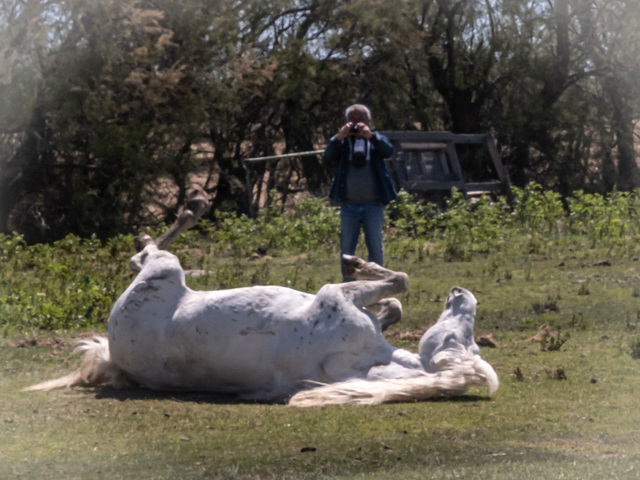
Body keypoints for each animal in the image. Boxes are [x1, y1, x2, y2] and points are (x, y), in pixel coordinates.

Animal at [25, 188, 498, 404]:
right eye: (469, 338)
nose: (462, 292)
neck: (368, 361)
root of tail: (114, 359)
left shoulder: (334, 297)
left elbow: (399, 280)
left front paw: (356, 261)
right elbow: (396, 297)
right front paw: (368, 279)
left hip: (165, 272)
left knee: (143, 255)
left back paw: (189, 209)